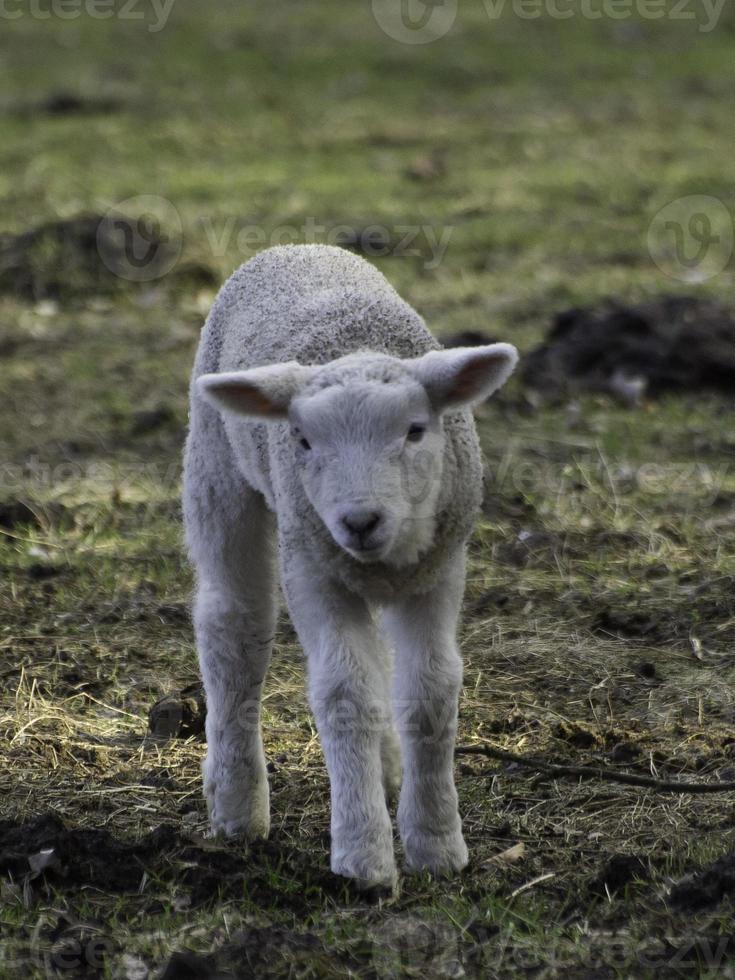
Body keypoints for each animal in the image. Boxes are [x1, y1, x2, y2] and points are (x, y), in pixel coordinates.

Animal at [183, 243, 516, 888]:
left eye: (415, 431)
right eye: (303, 441)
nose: (360, 520)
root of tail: (293, 246)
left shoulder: (441, 570)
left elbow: (432, 689)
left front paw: (437, 843)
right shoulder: (314, 570)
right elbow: (344, 693)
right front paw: (363, 855)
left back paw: (386, 770)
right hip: (216, 469)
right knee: (234, 627)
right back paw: (237, 805)